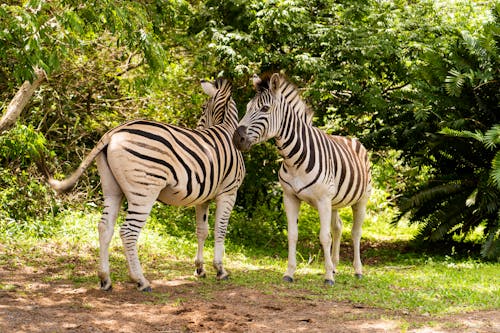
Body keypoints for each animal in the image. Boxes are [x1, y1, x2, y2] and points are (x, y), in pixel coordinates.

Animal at [44, 78, 245, 290]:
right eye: (203, 108)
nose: (198, 130)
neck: (225, 129)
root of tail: (112, 133)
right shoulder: (229, 192)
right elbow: (220, 230)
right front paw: (220, 270)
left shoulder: (203, 198)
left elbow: (202, 231)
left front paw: (200, 269)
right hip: (144, 191)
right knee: (128, 232)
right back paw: (140, 280)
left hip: (112, 189)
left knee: (105, 227)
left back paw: (105, 278)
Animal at [231, 74, 372, 284]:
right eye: (248, 107)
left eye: (265, 109)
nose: (236, 139)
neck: (294, 160)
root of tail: (352, 139)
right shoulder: (290, 197)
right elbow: (293, 235)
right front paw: (290, 273)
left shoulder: (322, 200)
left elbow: (324, 237)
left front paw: (328, 277)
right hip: (335, 201)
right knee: (338, 228)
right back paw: (335, 266)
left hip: (361, 199)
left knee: (355, 233)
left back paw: (357, 270)